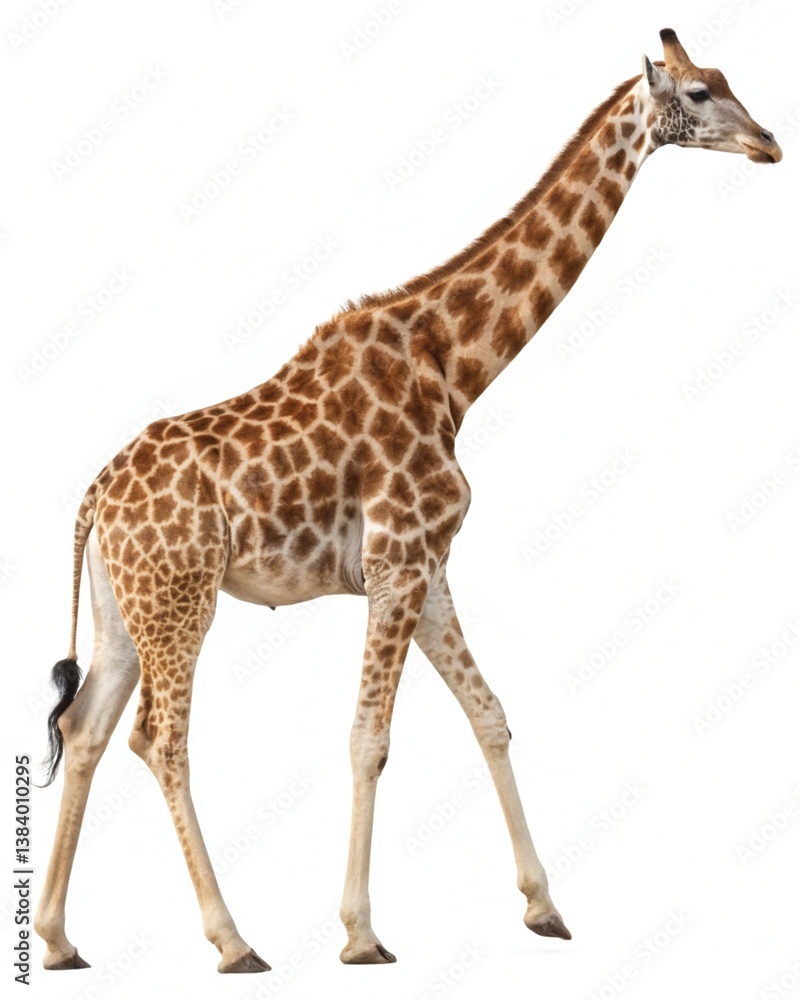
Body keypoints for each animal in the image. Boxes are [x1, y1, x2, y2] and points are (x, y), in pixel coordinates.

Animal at [35, 29, 781, 973]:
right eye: (699, 92)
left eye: (725, 80)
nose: (770, 144)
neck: (456, 365)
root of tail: (94, 496)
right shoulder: (398, 560)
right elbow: (370, 738)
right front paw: (360, 934)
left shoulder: (427, 567)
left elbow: (490, 714)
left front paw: (544, 908)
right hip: (181, 599)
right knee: (159, 740)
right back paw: (233, 941)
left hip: (122, 608)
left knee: (87, 729)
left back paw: (58, 939)